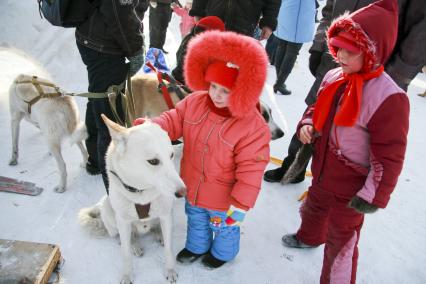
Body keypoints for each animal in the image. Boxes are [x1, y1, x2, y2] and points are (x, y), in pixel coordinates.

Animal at [79, 115, 186, 284]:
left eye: (171, 155)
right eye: (153, 161)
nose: (183, 192)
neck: (141, 192)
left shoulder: (166, 215)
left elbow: (169, 249)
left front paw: (170, 270)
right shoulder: (123, 221)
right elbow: (125, 254)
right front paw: (127, 275)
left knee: (156, 229)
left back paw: (159, 234)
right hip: (109, 210)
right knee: (123, 237)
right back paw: (132, 244)